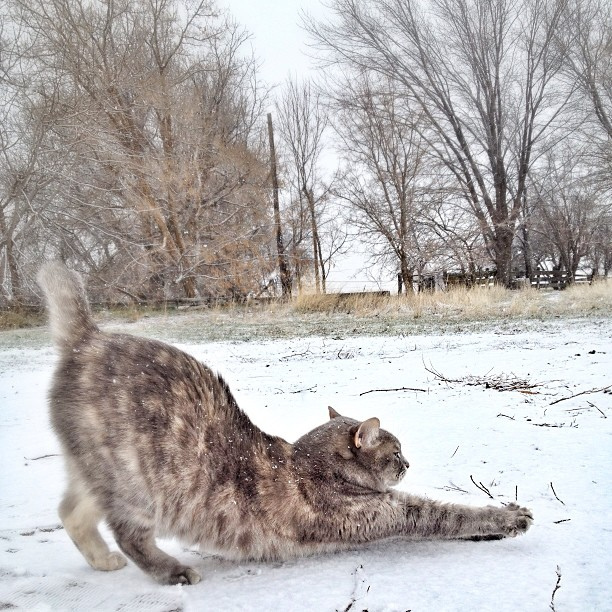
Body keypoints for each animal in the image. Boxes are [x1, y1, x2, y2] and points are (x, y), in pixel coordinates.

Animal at [37, 262, 532, 584]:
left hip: (94, 472)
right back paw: (170, 571)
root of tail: (87, 339)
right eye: (395, 452)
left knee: (70, 511)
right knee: (126, 533)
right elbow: (447, 513)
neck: (307, 462)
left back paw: (102, 562)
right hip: (136, 484)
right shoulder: (389, 511)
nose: (408, 464)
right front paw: (508, 517)